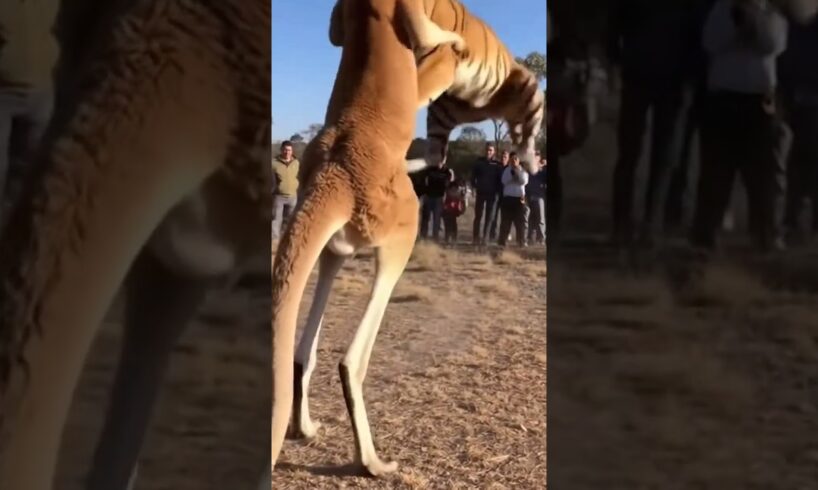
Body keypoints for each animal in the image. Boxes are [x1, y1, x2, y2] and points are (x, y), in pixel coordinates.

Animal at [329, 0, 544, 176]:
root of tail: (493, 112)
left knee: (528, 139)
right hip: (440, 112)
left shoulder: (438, 60)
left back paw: (531, 164)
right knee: (436, 155)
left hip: (530, 89)